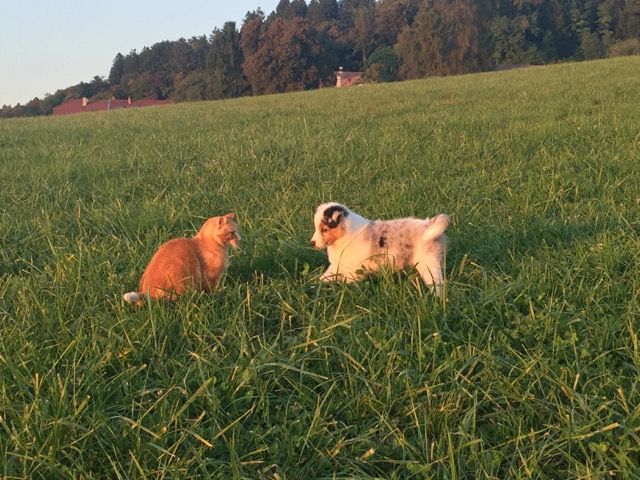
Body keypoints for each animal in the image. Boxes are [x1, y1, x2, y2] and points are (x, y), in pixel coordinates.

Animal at [312, 201, 450, 294]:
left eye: (324, 230)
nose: (312, 242)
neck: (344, 237)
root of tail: (428, 226)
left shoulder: (353, 271)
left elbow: (349, 284)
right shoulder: (337, 265)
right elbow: (325, 277)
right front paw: (313, 285)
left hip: (428, 263)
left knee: (437, 282)